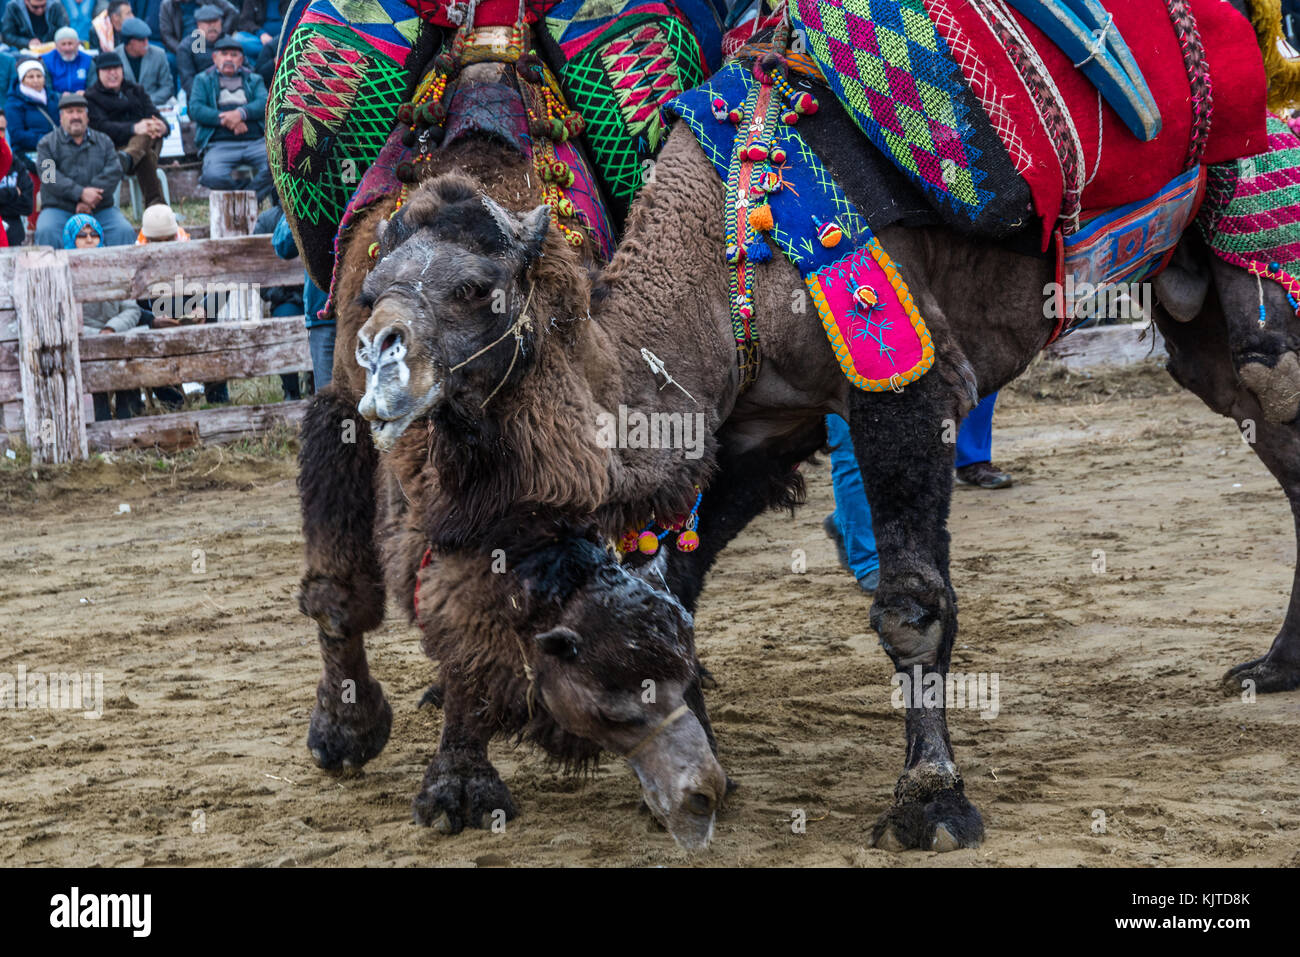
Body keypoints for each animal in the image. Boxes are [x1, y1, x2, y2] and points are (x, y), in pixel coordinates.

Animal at [295, 41, 1300, 852]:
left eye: (477, 290)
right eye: (370, 286)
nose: (375, 362)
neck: (730, 235)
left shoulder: (900, 373)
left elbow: (912, 606)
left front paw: (930, 801)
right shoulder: (755, 423)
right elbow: (680, 571)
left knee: (1276, 389)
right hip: (1199, 315)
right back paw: (1276, 666)